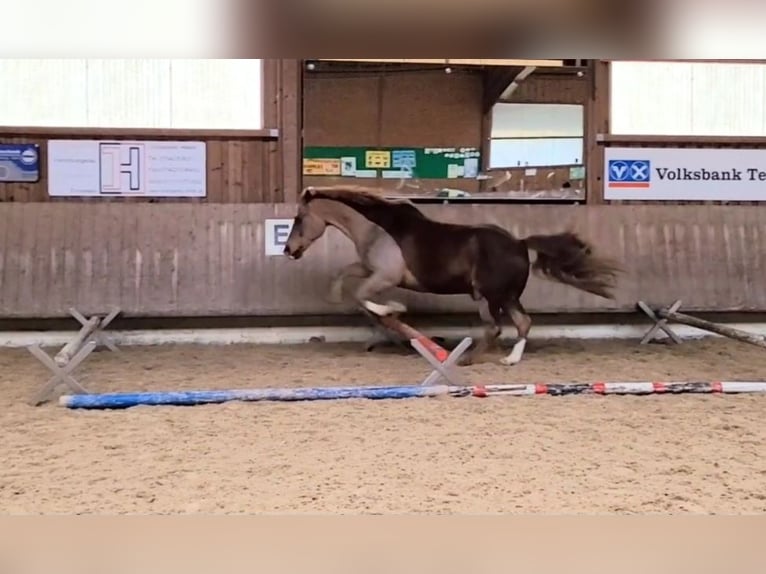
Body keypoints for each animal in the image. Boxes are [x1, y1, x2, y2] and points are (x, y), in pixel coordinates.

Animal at [282, 187, 624, 366]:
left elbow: (363, 296)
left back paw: (471, 359)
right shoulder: (371, 269)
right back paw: (502, 360)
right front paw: (336, 295)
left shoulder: (385, 276)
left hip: (492, 295)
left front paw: (395, 310)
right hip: (502, 296)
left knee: (499, 327)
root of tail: (519, 243)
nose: (288, 249)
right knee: (517, 324)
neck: (378, 229)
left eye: (299, 218)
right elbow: (346, 276)